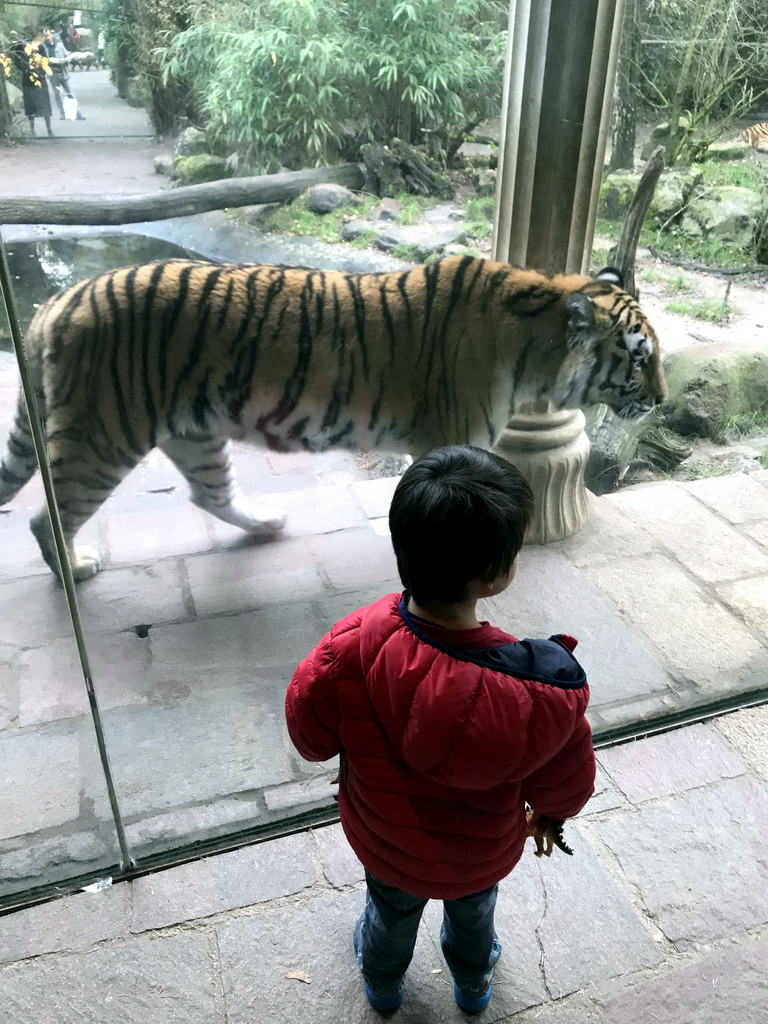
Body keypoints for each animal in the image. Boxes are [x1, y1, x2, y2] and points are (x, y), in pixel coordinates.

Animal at [0, 252, 667, 581]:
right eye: (640, 359)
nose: (661, 398)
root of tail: (55, 302)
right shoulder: (450, 443)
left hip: (195, 432)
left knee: (210, 494)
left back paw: (267, 523)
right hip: (103, 436)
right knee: (45, 515)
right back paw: (74, 570)